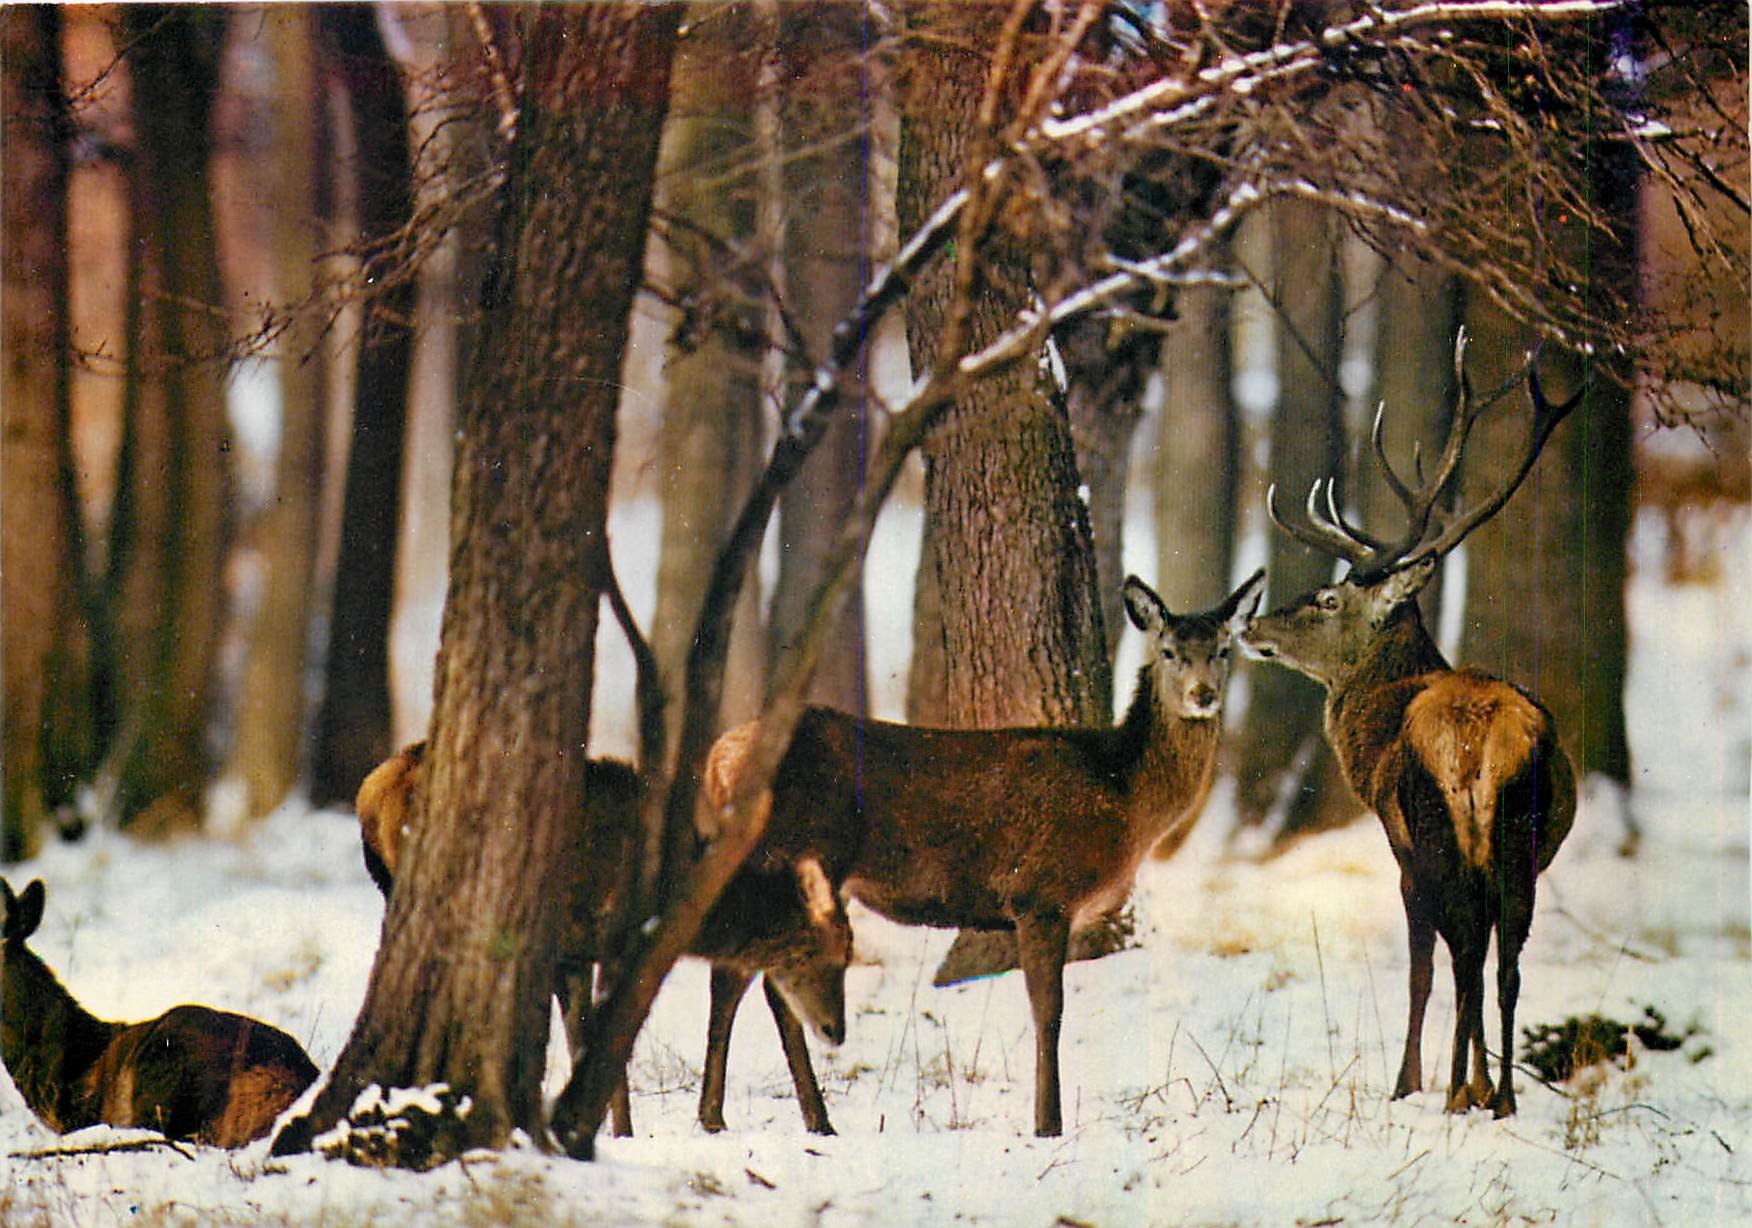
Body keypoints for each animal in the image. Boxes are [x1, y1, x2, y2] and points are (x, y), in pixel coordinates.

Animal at [355, 740, 853, 1136]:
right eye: (827, 956)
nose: (837, 1030)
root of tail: (369, 792)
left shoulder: (575, 953)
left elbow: (585, 1038)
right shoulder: (604, 943)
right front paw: (621, 1130)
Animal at [703, 569, 1266, 1137]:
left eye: (1222, 649)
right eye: (1169, 651)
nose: (1203, 695)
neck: (1123, 795)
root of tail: (718, 759)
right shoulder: (1041, 893)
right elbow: (1048, 1012)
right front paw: (1048, 1125)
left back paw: (779, 1118)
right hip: (785, 854)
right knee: (742, 976)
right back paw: (747, 1118)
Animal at [1239, 331, 1580, 1118]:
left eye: (1328, 598)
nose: (1250, 624)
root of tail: (1483, 742)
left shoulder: (1399, 848)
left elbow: (1423, 968)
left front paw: (1408, 1083)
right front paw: (1475, 1083)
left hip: (1436, 833)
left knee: (1463, 955)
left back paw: (1457, 1092)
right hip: (1516, 841)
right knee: (1505, 961)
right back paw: (1501, 1096)